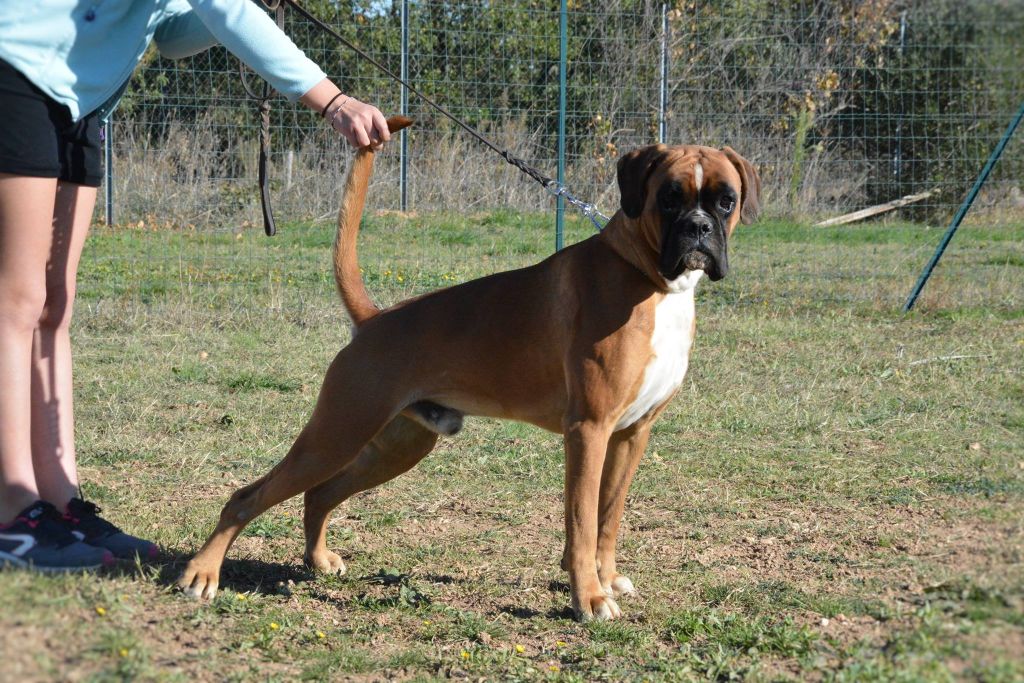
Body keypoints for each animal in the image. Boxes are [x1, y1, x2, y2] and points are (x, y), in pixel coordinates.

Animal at [177, 117, 760, 621]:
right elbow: (580, 521)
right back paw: (203, 573)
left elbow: (608, 517)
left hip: (396, 445)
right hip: (335, 434)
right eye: (669, 198)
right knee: (247, 497)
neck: (649, 278)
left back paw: (318, 561)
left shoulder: (631, 434)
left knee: (319, 494)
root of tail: (374, 319)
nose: (699, 228)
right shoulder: (588, 431)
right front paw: (589, 598)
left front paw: (607, 577)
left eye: (725, 200)